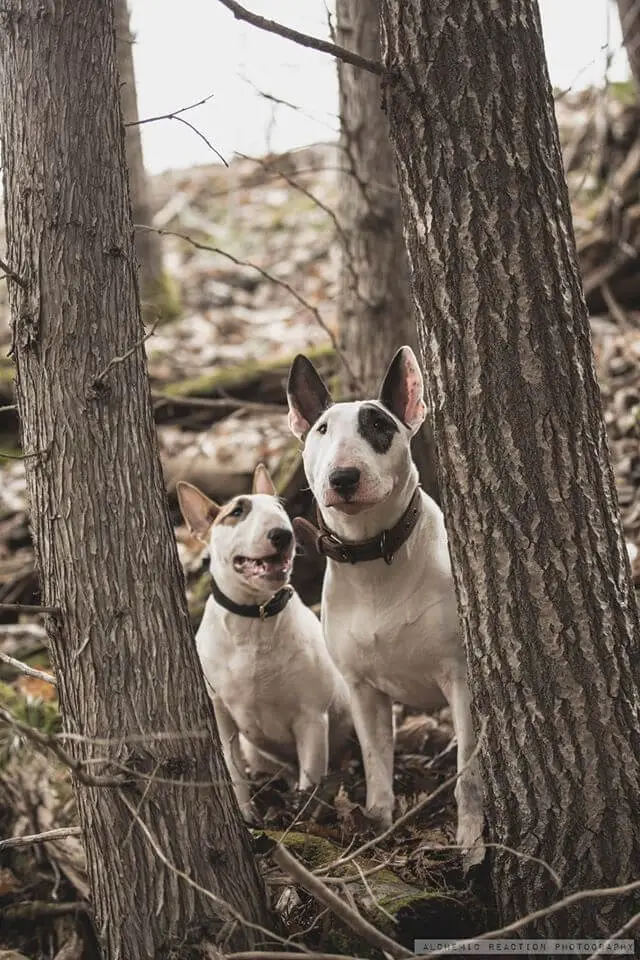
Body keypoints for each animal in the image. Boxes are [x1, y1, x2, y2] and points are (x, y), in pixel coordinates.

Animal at [178, 462, 352, 820]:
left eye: (280, 509)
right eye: (237, 511)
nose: (283, 535)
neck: (254, 618)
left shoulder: (311, 717)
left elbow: (310, 780)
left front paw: (302, 823)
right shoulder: (221, 716)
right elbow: (233, 771)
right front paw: (246, 816)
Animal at [288, 346, 482, 864]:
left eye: (380, 426)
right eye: (321, 430)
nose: (343, 477)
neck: (373, 557)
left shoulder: (460, 679)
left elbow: (469, 772)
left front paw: (472, 838)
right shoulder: (363, 689)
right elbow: (376, 762)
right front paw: (376, 824)